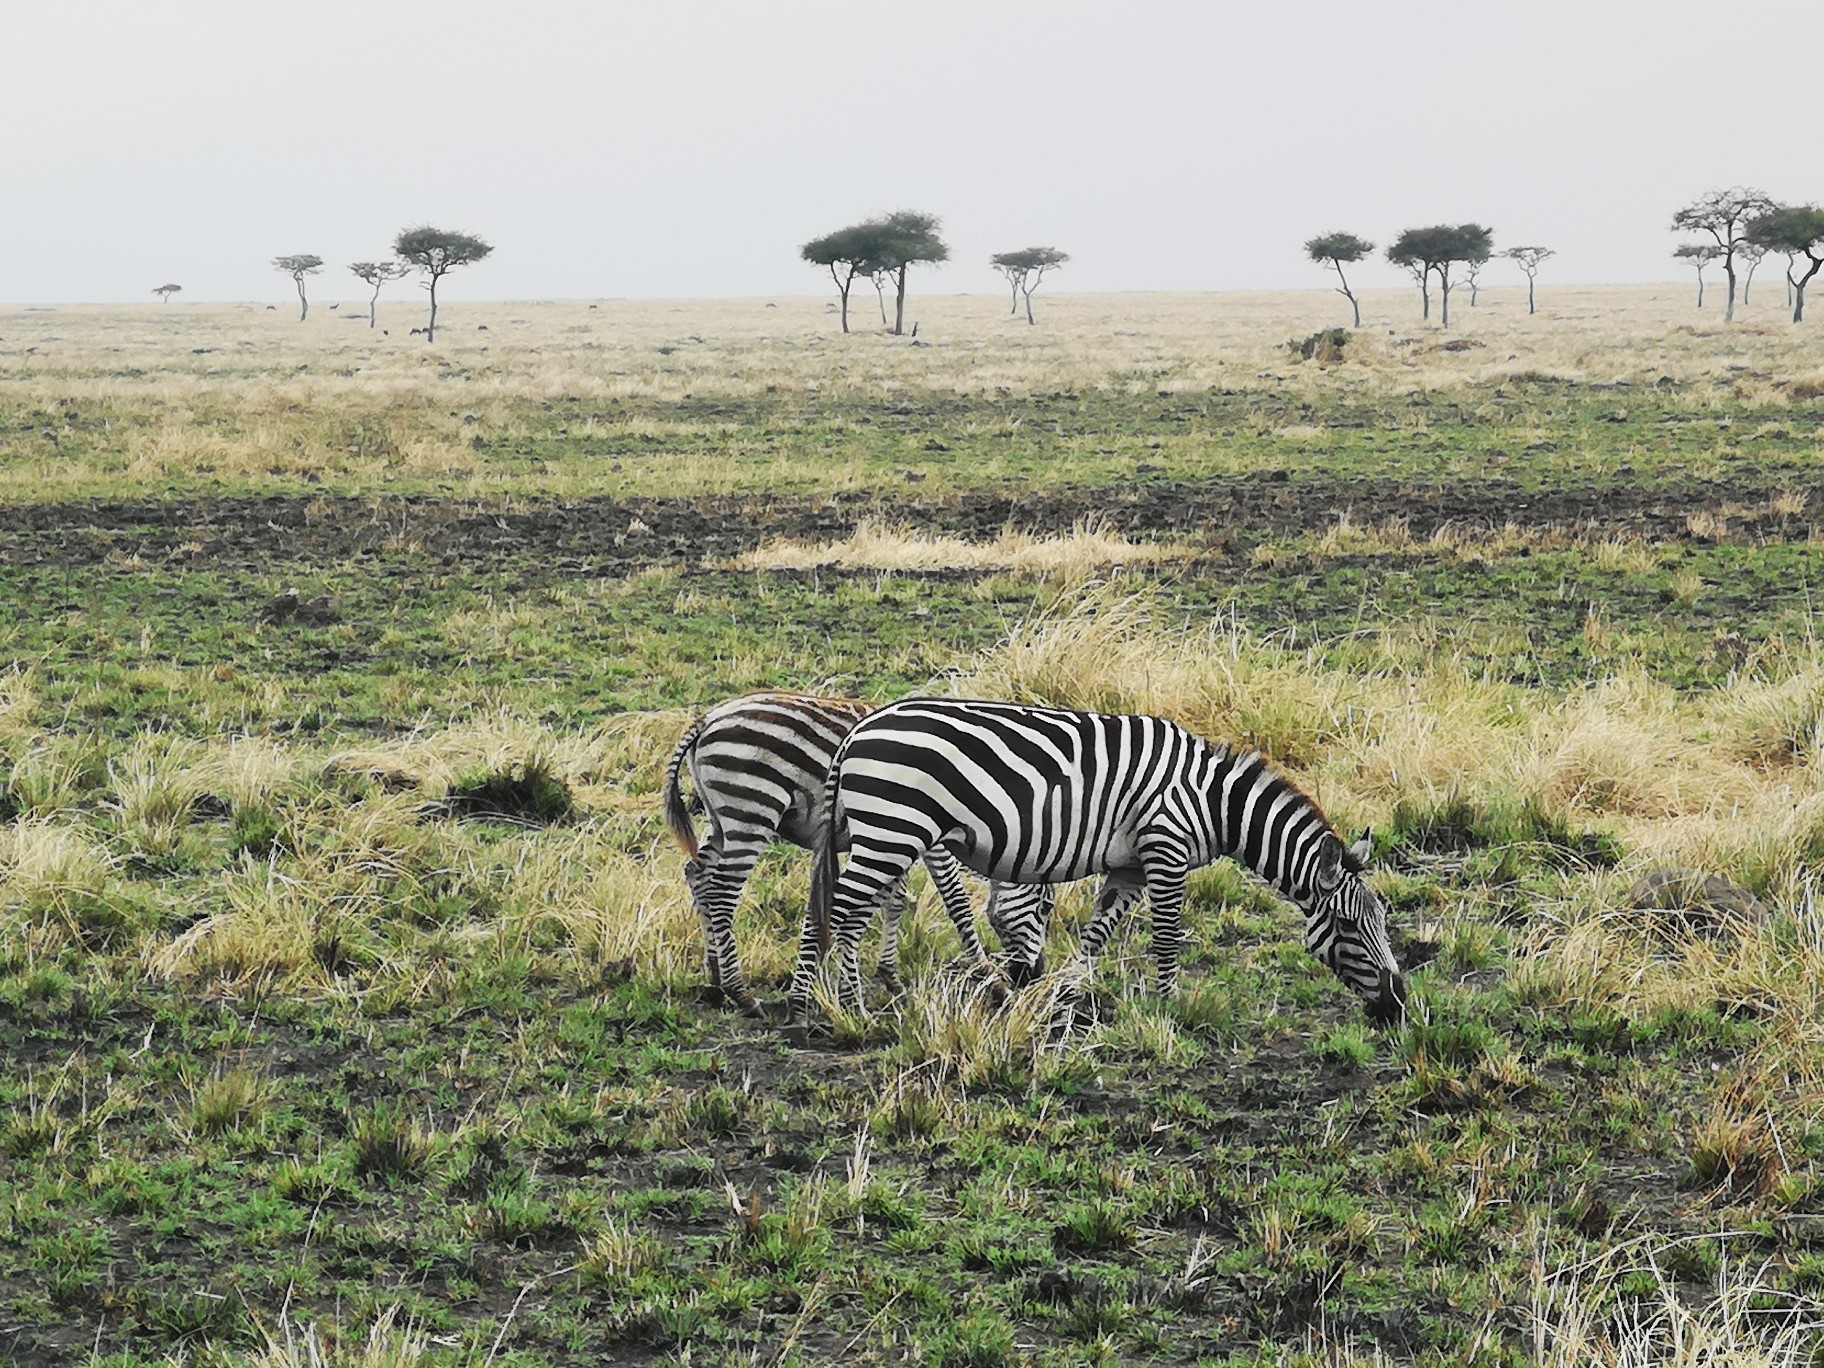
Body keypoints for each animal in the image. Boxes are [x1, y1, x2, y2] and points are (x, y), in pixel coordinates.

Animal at [663, 689, 1050, 1014]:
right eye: (1046, 909)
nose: (1037, 975)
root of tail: (709, 718)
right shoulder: (932, 836)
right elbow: (957, 903)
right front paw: (994, 983)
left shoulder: (898, 834)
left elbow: (894, 899)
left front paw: (889, 977)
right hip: (752, 811)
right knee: (722, 891)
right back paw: (739, 991)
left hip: (722, 817)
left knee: (698, 875)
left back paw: (715, 980)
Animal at [798, 700, 1408, 1021]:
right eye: (1348, 926)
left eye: (1384, 921)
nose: (1399, 1003)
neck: (1211, 801)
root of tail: (861, 726)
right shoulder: (1165, 847)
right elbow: (1167, 935)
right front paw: (1169, 1006)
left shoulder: (1129, 867)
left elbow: (1098, 934)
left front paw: (1061, 995)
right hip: (893, 826)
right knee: (844, 910)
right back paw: (843, 1004)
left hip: (887, 831)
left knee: (853, 907)